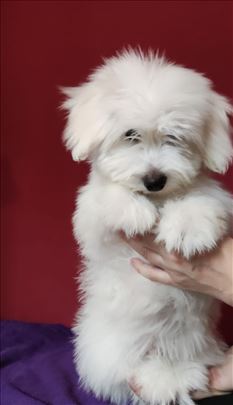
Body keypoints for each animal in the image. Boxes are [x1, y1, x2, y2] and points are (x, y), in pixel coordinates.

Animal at [62, 49, 233, 402]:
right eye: (131, 135)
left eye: (175, 137)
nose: (154, 180)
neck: (157, 199)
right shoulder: (89, 221)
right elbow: (103, 200)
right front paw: (132, 211)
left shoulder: (217, 198)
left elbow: (202, 199)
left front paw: (188, 229)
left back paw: (169, 378)